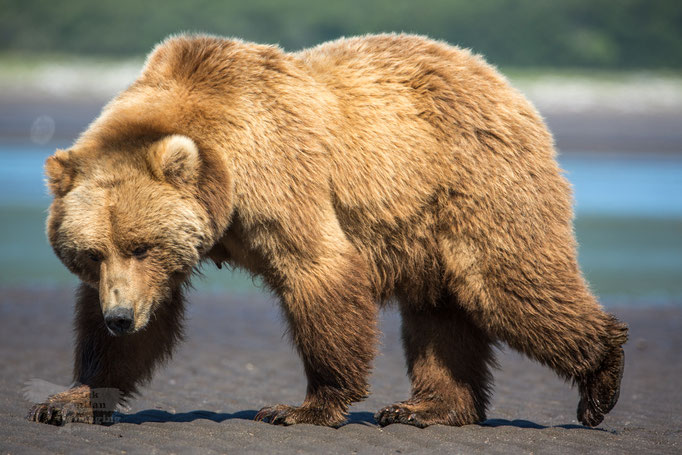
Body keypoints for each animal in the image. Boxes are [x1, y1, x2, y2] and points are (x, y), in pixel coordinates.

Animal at [27, 33, 628, 430]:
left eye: (141, 245)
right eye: (90, 254)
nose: (119, 316)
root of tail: (500, 80)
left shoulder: (279, 173)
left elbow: (318, 271)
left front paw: (304, 406)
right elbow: (145, 320)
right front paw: (69, 398)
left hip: (478, 186)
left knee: (509, 287)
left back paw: (600, 379)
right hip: (426, 227)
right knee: (439, 312)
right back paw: (428, 408)